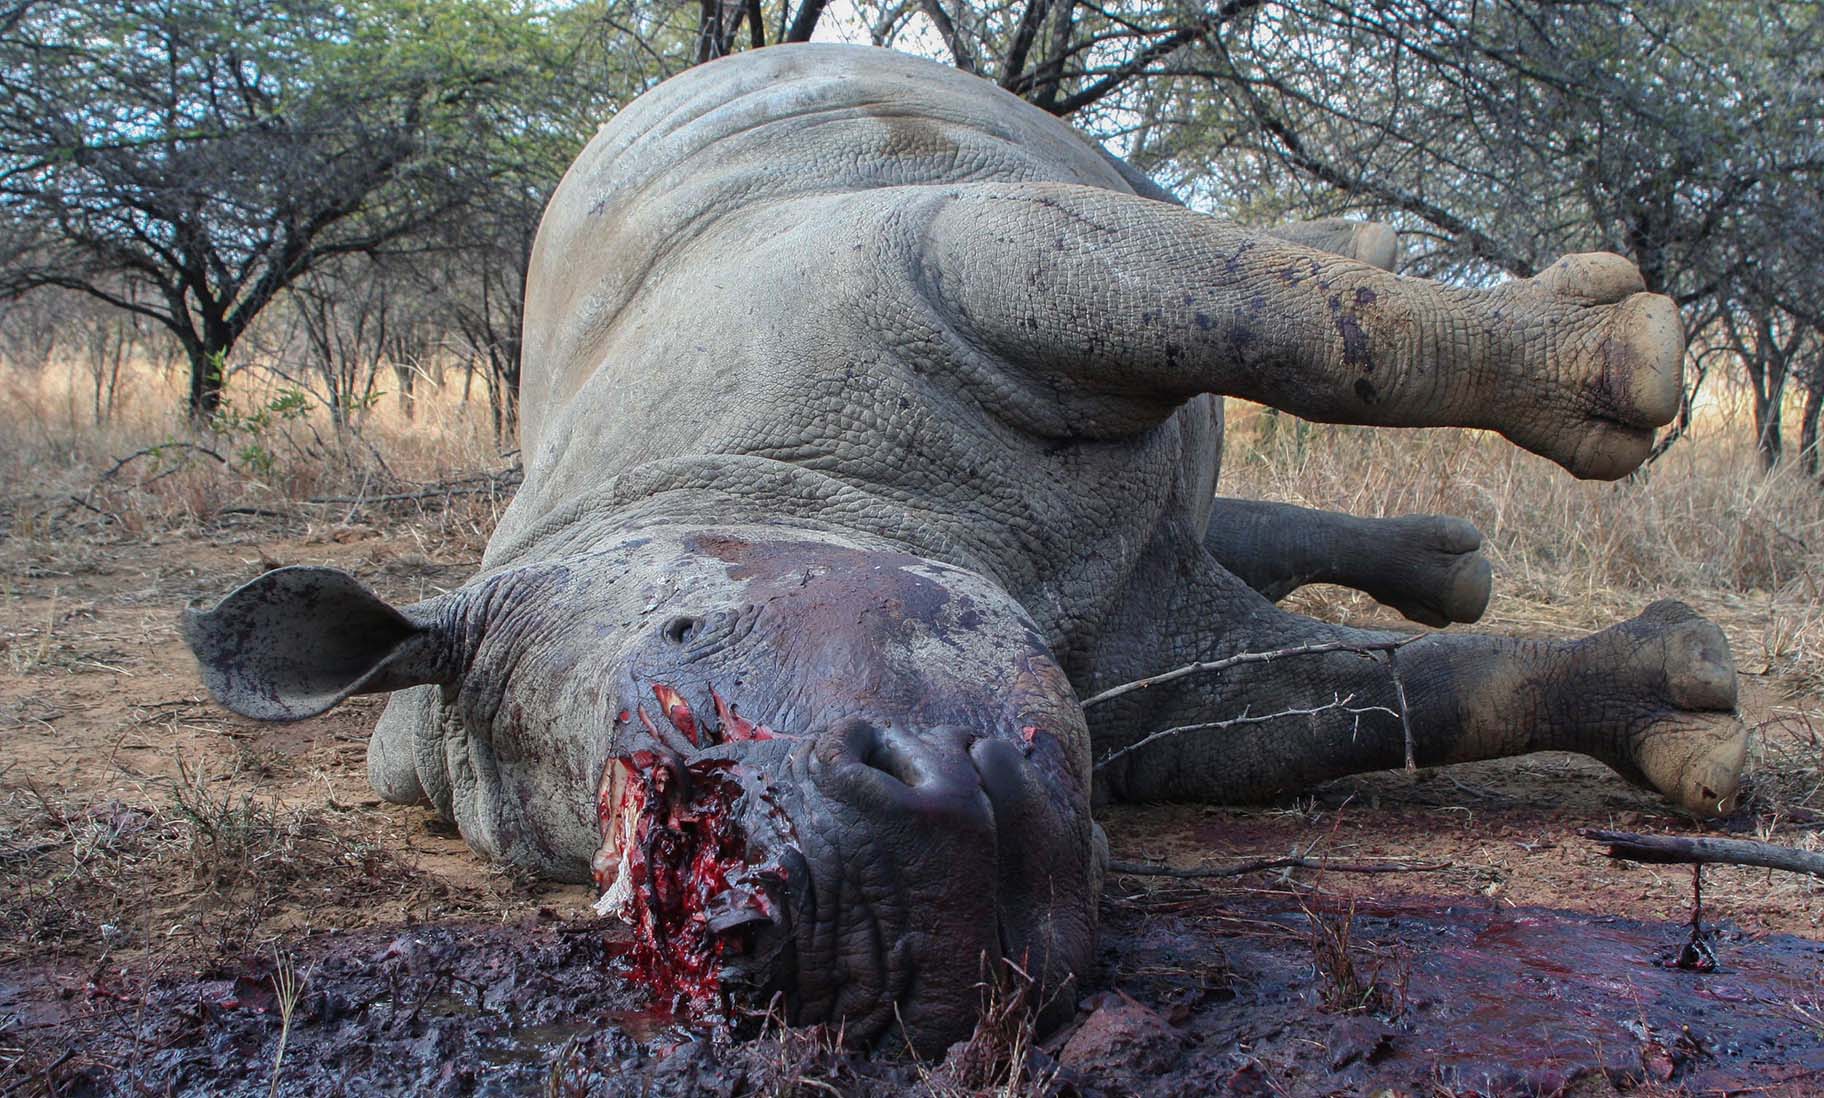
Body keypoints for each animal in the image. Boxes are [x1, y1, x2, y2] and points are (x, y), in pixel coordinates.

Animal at [184, 45, 1747, 1051]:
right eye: (595, 882)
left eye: (689, 635)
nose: (820, 931)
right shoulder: (1147, 695)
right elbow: (1379, 698)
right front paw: (1679, 712)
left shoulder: (932, 255)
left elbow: (1286, 322)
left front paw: (1622, 360)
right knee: (1226, 526)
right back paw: (1456, 562)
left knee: (1236, 283)